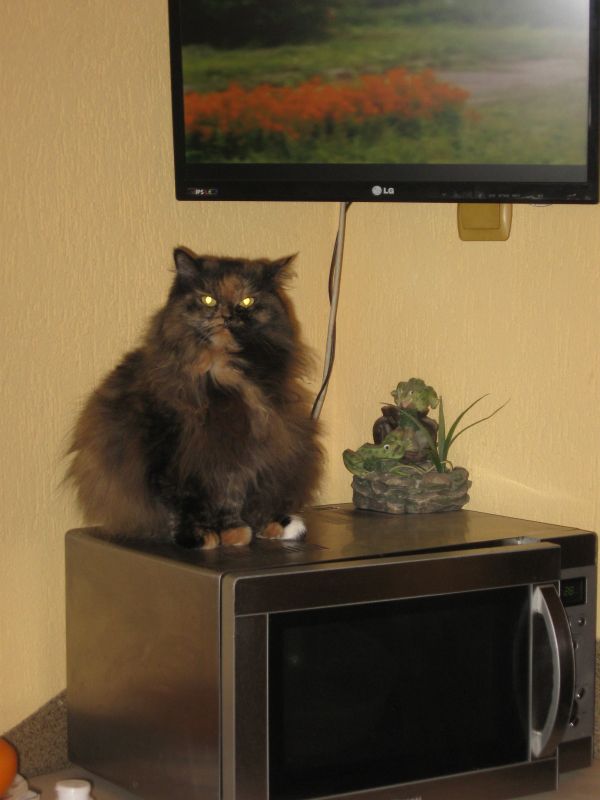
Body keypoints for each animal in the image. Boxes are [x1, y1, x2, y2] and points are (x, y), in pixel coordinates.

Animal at [66, 248, 323, 549]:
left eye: (247, 301)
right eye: (208, 299)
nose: (227, 314)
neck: (225, 373)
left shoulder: (239, 450)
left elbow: (231, 496)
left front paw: (233, 532)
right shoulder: (174, 452)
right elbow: (183, 503)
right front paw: (199, 536)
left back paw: (278, 525)